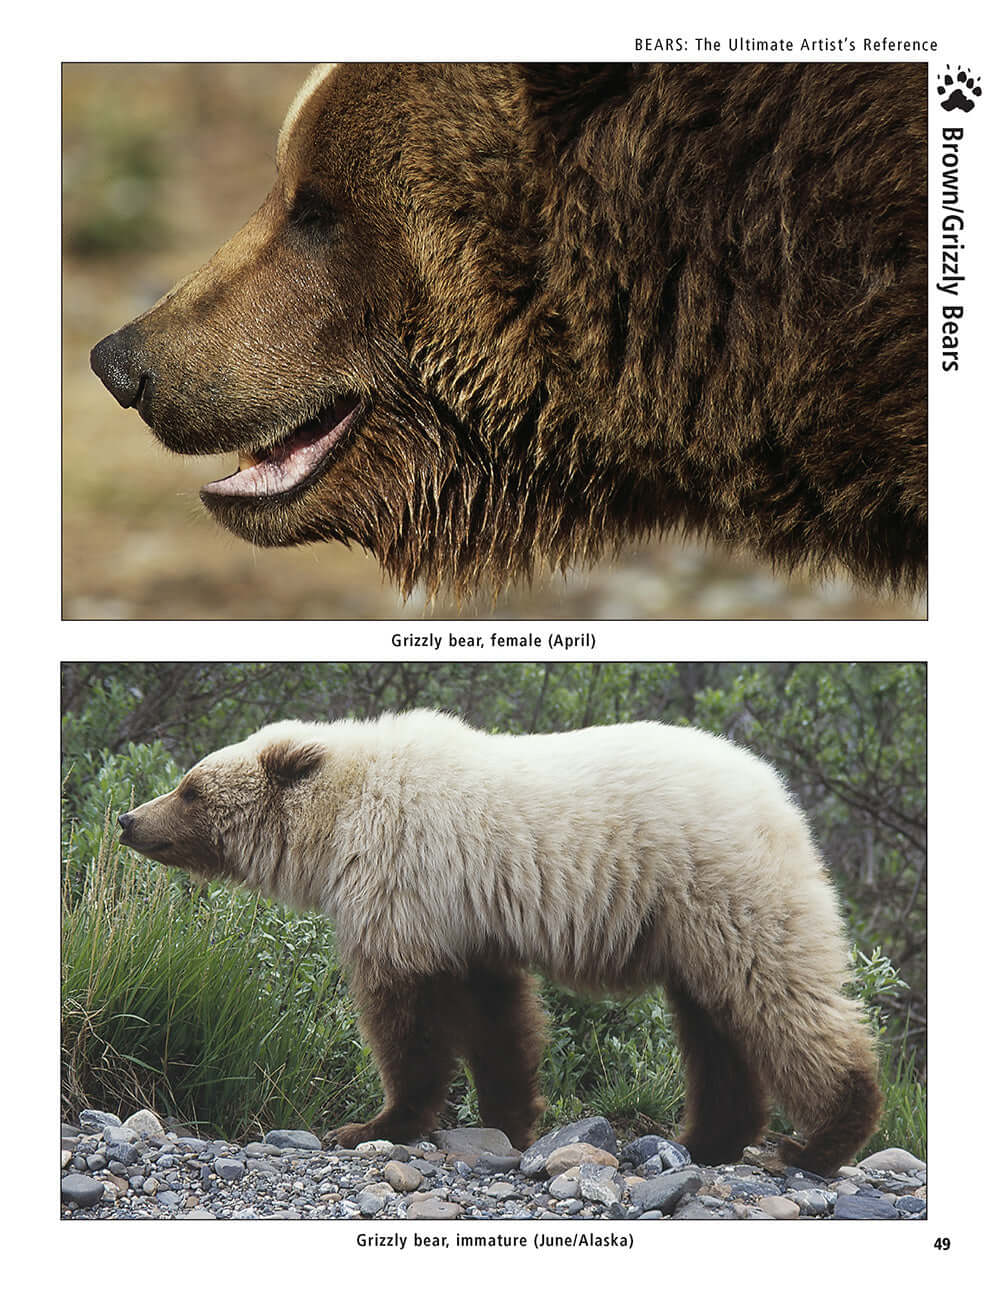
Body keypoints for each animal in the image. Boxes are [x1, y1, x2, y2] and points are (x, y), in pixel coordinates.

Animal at [117, 710, 882, 1175]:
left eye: (190, 787)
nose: (127, 818)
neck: (339, 824)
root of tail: (778, 793)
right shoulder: (470, 917)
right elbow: (497, 1021)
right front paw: (514, 1121)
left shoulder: (405, 883)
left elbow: (408, 1017)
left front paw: (370, 1125)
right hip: (692, 926)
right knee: (715, 1023)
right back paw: (706, 1139)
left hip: (719, 888)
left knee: (779, 998)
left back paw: (820, 1139)